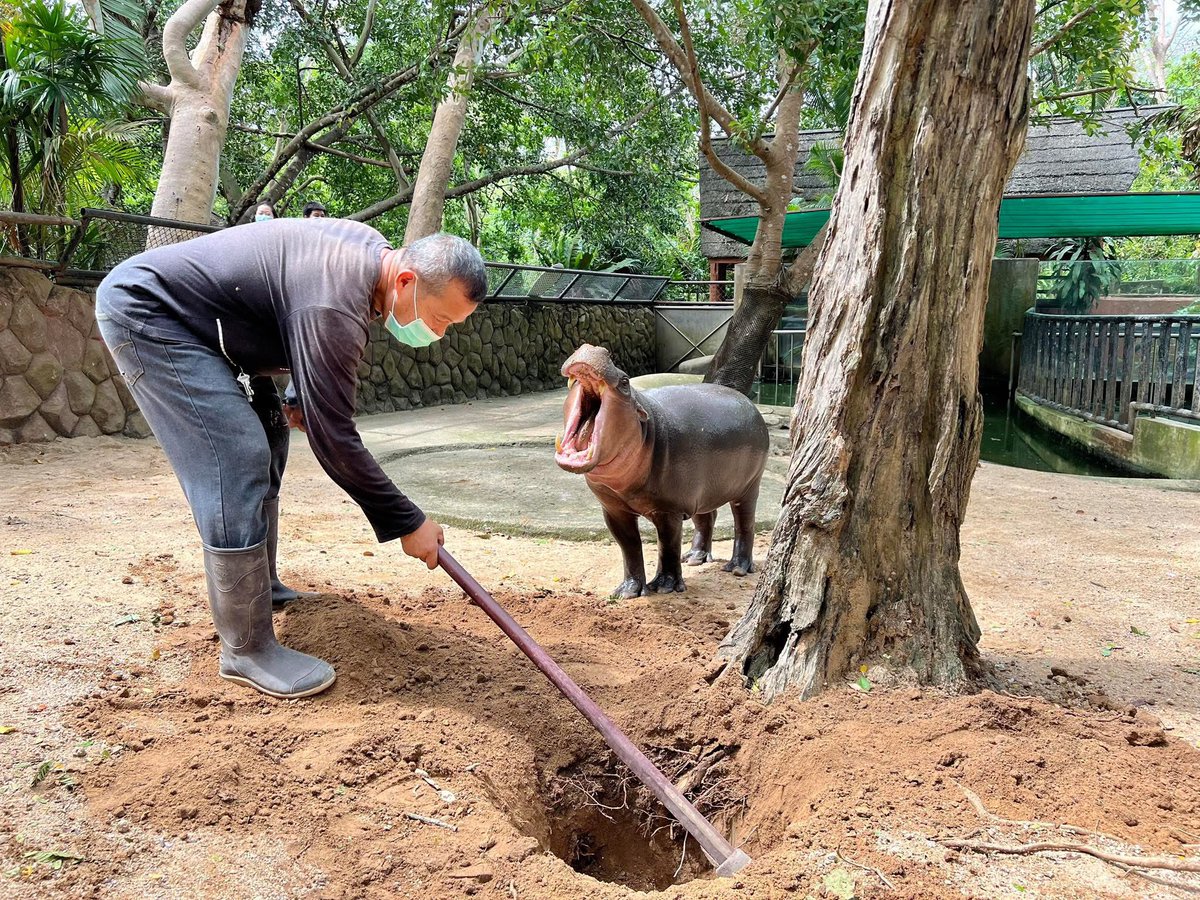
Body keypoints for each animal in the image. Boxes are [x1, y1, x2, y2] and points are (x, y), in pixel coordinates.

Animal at [555, 344, 769, 599]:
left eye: (625, 381)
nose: (594, 347)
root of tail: (749, 403)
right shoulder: (614, 510)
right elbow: (629, 547)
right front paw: (627, 591)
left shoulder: (669, 510)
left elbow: (667, 545)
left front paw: (665, 586)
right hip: (701, 490)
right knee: (706, 519)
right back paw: (694, 558)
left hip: (748, 487)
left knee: (744, 523)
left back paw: (737, 568)